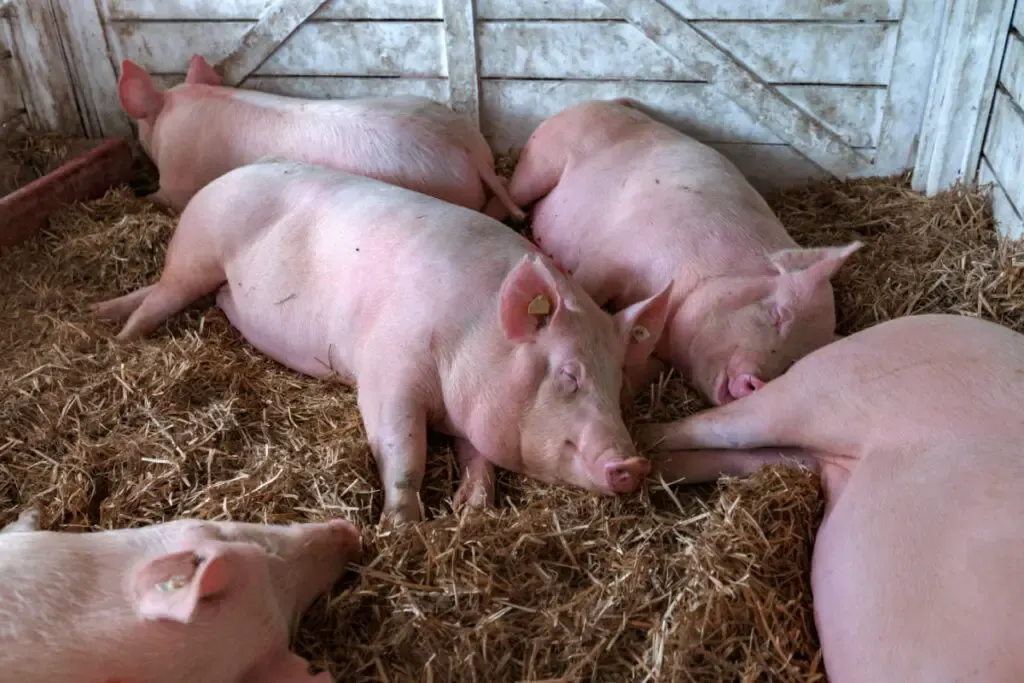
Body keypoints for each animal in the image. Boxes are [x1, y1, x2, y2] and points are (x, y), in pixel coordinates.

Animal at [90, 160, 671, 524]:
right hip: (195, 254)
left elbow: (479, 459)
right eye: (569, 374)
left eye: (620, 386)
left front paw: (470, 510)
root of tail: (225, 177)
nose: (635, 465)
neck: (472, 334)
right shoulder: (386, 371)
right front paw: (404, 525)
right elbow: (403, 448)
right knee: (157, 299)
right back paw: (119, 338)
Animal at [507, 97, 860, 405]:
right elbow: (586, 287)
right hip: (542, 159)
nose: (758, 384)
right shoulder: (611, 256)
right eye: (778, 315)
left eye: (793, 362)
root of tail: (612, 102)